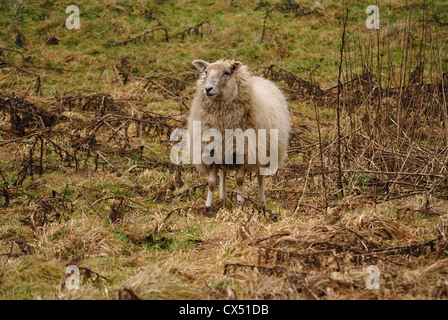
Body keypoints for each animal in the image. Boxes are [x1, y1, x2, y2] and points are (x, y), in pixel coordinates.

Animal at [186, 58, 288, 209]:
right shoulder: (211, 152)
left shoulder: (245, 153)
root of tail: (261, 79)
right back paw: (222, 198)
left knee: (261, 178)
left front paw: (239, 205)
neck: (223, 124)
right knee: (223, 172)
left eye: (226, 73)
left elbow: (239, 180)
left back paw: (261, 202)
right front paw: (208, 206)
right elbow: (211, 182)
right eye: (206, 72)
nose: (207, 89)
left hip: (263, 154)